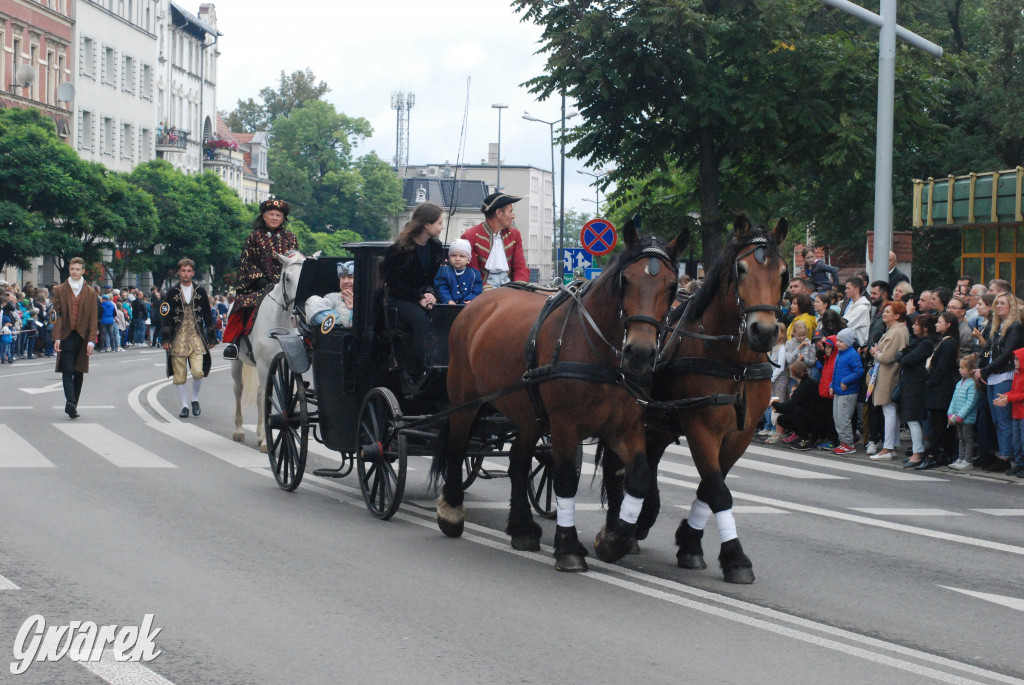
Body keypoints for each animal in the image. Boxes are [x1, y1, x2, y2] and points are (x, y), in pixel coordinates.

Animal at [234, 249, 305, 448]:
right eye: (287, 277)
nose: (297, 313)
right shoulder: (264, 364)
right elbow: (263, 396)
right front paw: (266, 441)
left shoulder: (289, 362)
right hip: (237, 362)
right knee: (239, 390)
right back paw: (240, 430)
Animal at [432, 219, 688, 573]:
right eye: (626, 280)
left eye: (672, 286)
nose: (639, 352)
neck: (600, 353)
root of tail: (481, 303)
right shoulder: (566, 425)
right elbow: (566, 479)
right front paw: (568, 546)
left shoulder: (625, 427)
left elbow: (637, 477)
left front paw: (614, 541)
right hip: (464, 398)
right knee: (458, 447)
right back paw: (452, 512)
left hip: (528, 413)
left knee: (518, 461)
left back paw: (522, 528)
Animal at [602, 213, 786, 581]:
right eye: (741, 269)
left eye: (783, 272)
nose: (764, 331)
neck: (734, 363)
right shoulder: (701, 428)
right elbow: (718, 490)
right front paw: (735, 556)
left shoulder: (740, 434)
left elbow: (710, 487)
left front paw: (690, 541)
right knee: (618, 467)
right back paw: (618, 527)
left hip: (657, 426)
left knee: (645, 466)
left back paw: (639, 521)